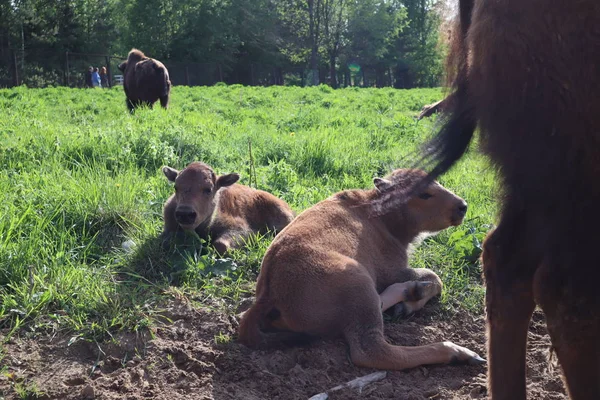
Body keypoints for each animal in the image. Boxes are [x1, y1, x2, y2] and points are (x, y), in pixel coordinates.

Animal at [237, 168, 486, 368]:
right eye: (424, 194)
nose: (462, 206)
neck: (381, 215)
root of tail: (269, 292)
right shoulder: (393, 270)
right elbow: (434, 277)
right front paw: (415, 294)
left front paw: (407, 302)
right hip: (359, 280)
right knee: (372, 351)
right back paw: (458, 352)